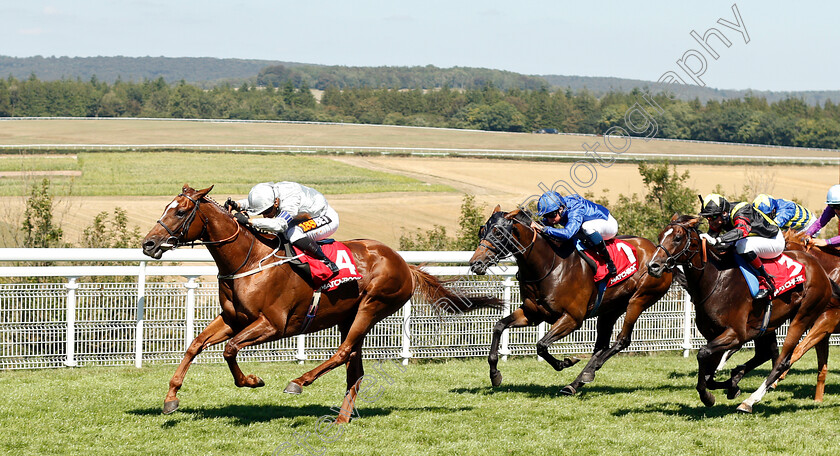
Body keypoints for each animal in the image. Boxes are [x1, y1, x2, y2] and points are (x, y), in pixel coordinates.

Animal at [141, 184, 502, 420]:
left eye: (181, 211)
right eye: (165, 208)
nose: (148, 244)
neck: (248, 259)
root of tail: (403, 263)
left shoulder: (273, 324)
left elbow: (230, 350)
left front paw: (252, 381)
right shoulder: (234, 319)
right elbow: (195, 345)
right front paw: (171, 398)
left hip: (372, 305)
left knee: (342, 354)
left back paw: (299, 382)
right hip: (349, 316)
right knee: (354, 366)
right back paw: (342, 417)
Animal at [466, 207, 668, 396]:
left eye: (499, 233)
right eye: (482, 230)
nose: (475, 263)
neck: (549, 265)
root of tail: (657, 250)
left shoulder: (572, 318)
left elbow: (541, 345)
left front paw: (565, 362)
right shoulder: (532, 314)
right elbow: (499, 326)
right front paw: (495, 375)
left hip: (639, 299)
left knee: (622, 340)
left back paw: (585, 374)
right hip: (610, 309)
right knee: (601, 346)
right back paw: (578, 381)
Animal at [648, 215, 836, 414]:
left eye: (677, 238)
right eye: (660, 236)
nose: (653, 266)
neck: (716, 280)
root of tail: (820, 270)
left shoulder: (735, 333)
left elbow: (703, 354)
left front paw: (708, 396)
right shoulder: (716, 335)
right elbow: (709, 374)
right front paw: (731, 385)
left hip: (803, 317)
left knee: (782, 361)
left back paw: (750, 401)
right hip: (766, 325)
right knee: (765, 353)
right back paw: (738, 379)